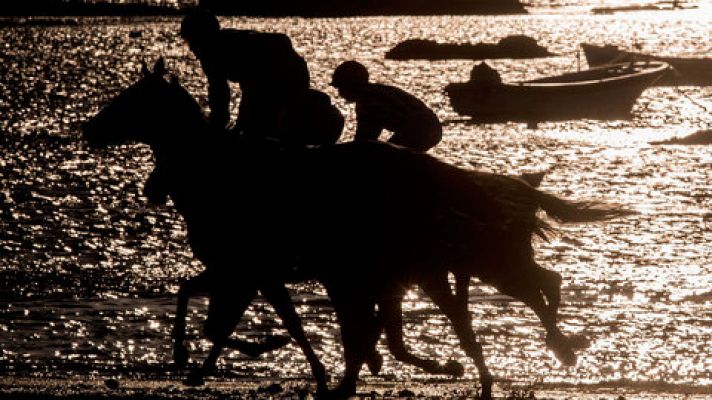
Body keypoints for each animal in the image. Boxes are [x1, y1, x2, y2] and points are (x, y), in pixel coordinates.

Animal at [80, 58, 632, 396]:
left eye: (131, 99)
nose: (88, 128)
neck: (218, 174)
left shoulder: (254, 268)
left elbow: (230, 320)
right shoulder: (255, 270)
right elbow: (219, 308)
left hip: (471, 259)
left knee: (536, 286)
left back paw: (556, 347)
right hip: (445, 263)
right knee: (499, 300)